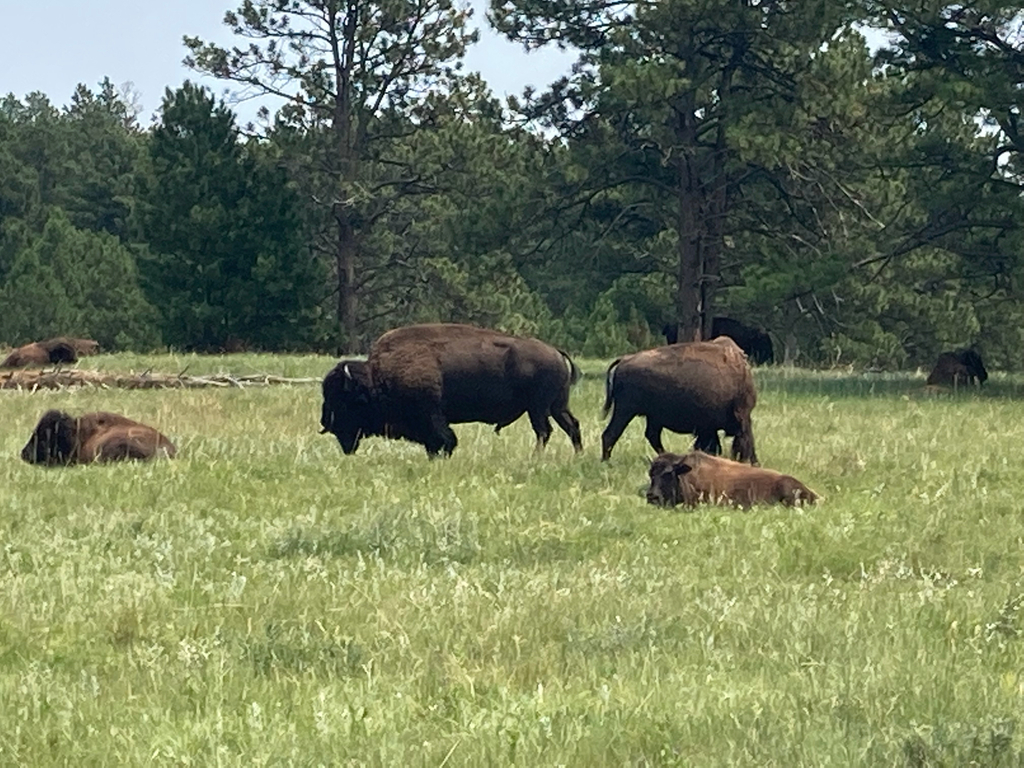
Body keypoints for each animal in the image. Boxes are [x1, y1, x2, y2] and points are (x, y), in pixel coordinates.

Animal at [320, 323, 583, 457]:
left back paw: (535, 458)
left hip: (537, 408)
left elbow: (444, 439)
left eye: (342, 400)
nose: (326, 422)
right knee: (571, 426)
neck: (377, 377)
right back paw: (578, 456)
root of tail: (556, 352)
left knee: (544, 431)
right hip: (557, 406)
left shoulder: (431, 415)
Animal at [601, 337, 758, 463]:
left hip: (651, 417)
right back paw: (607, 462)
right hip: (625, 411)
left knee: (651, 435)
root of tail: (624, 360)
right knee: (610, 434)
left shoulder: (707, 427)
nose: (752, 461)